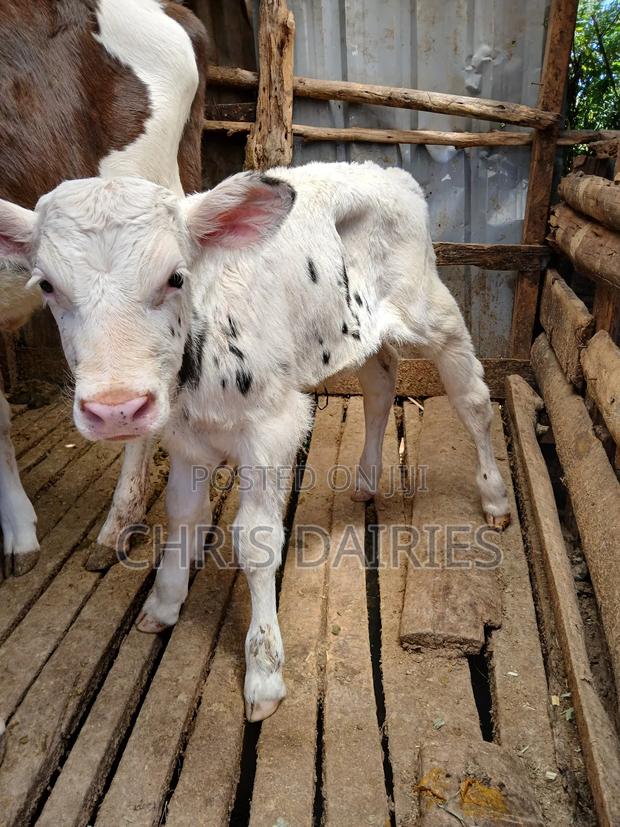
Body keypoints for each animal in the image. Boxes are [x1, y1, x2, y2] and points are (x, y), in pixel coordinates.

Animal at [0, 160, 511, 721]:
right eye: (47, 285)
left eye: (175, 277)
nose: (116, 408)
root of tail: (385, 170)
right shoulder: (182, 435)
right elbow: (183, 513)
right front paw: (165, 602)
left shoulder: (273, 426)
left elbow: (256, 539)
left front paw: (264, 670)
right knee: (380, 383)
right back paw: (366, 478)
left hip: (432, 308)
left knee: (472, 398)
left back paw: (494, 496)